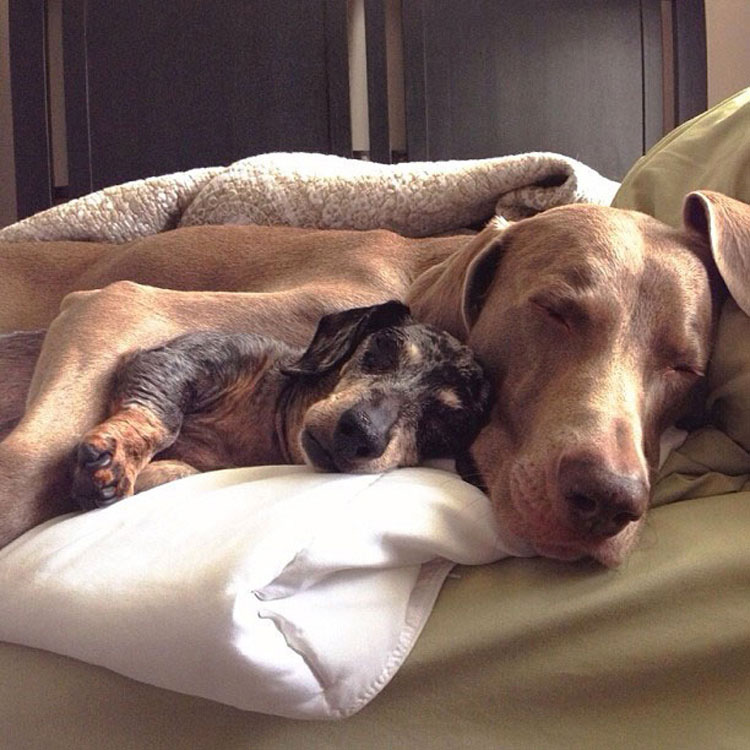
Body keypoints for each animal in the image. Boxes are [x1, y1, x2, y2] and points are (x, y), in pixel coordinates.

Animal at [70, 302, 494, 512]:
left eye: (445, 423)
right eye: (382, 349)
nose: (360, 433)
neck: (271, 417)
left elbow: (177, 471)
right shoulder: (174, 358)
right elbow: (160, 420)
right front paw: (119, 458)